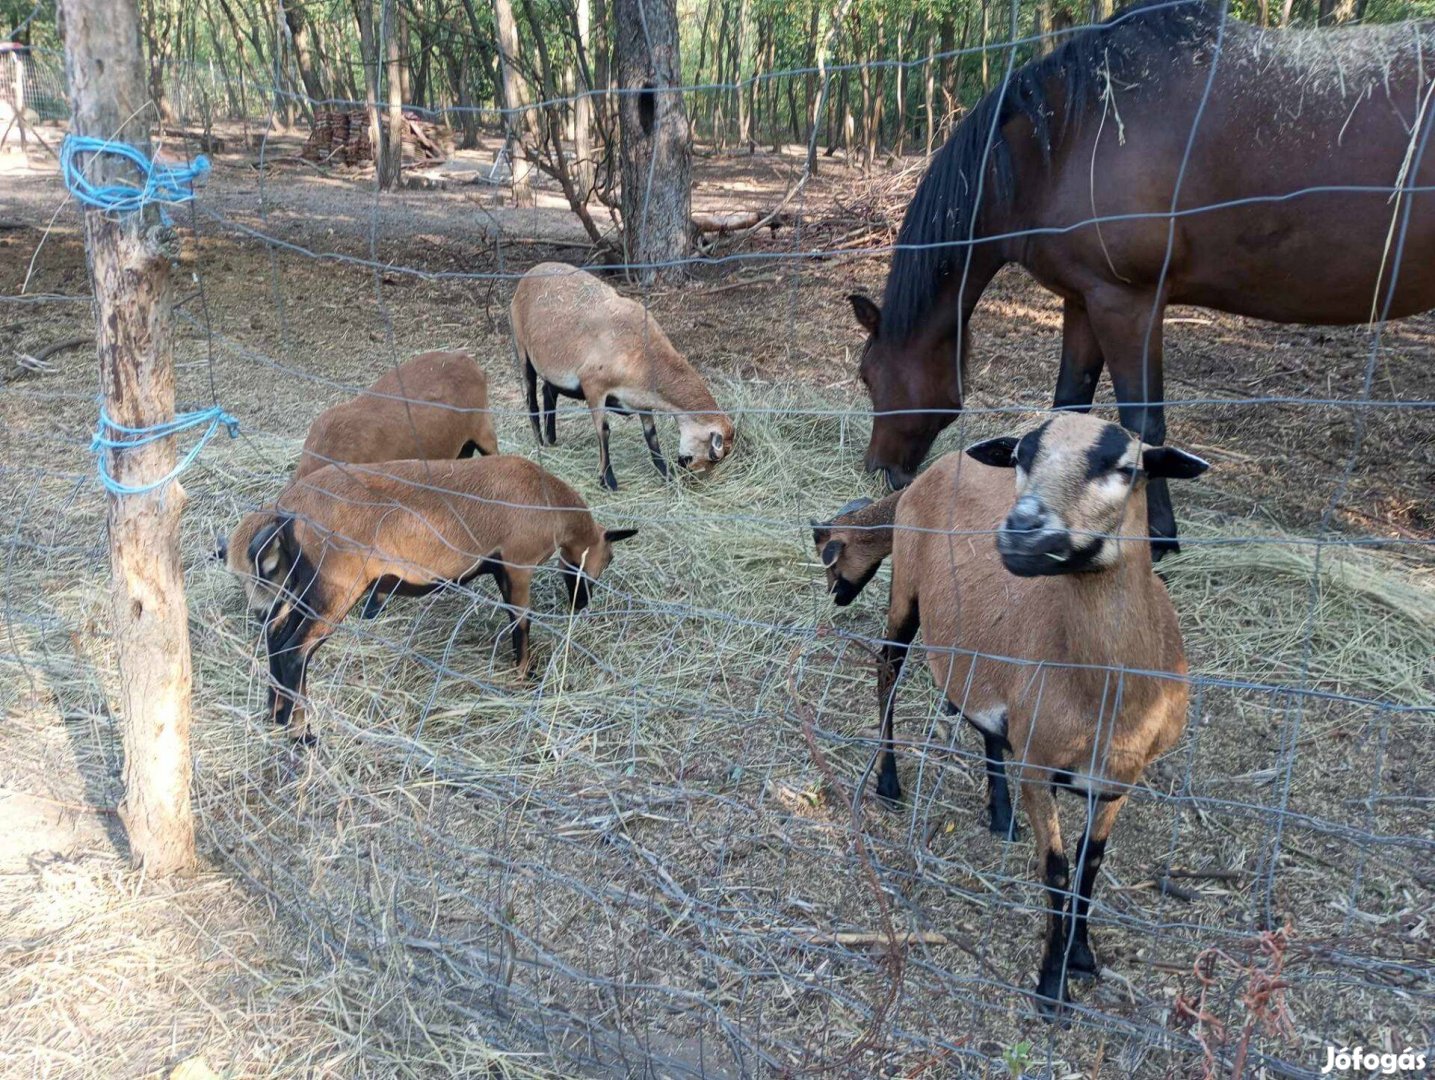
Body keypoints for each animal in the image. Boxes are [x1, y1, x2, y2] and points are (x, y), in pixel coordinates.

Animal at [213, 349, 499, 610]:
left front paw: (375, 602)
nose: (262, 615)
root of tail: (466, 359)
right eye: (238, 577)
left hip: (483, 430)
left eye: (270, 568)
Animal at [245, 450, 634, 740]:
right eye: (610, 557)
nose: (580, 604)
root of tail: (287, 511)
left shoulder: (502, 569)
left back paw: (276, 714)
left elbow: (512, 619)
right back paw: (301, 732)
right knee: (296, 651)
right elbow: (522, 621)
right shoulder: (519, 564)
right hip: (335, 587)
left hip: (301, 585)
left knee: (275, 636)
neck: (550, 504)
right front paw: (527, 675)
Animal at [510, 261, 734, 487]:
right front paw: (608, 480)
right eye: (714, 455)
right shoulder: (593, 385)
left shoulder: (640, 399)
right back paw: (539, 441)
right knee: (531, 397)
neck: (645, 355)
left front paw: (666, 474)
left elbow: (651, 435)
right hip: (522, 348)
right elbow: (604, 431)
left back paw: (551, 438)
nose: (695, 477)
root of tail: (531, 272)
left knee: (548, 390)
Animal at [849, 2, 1435, 556]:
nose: (880, 468)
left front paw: (1160, 541)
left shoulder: (1127, 305)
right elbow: (1069, 408)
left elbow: (1145, 426)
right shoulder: (1084, 301)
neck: (1070, 137)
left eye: (870, 376)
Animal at [872, 407, 1211, 1015]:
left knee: (980, 711)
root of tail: (946, 460)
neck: (1108, 696)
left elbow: (1089, 863)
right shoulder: (1038, 765)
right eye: (1018, 458)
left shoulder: (1120, 779)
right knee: (886, 667)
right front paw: (1052, 988)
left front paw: (1083, 955)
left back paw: (1000, 814)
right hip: (906, 582)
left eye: (1126, 467)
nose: (1022, 532)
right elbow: (1055, 870)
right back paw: (888, 783)